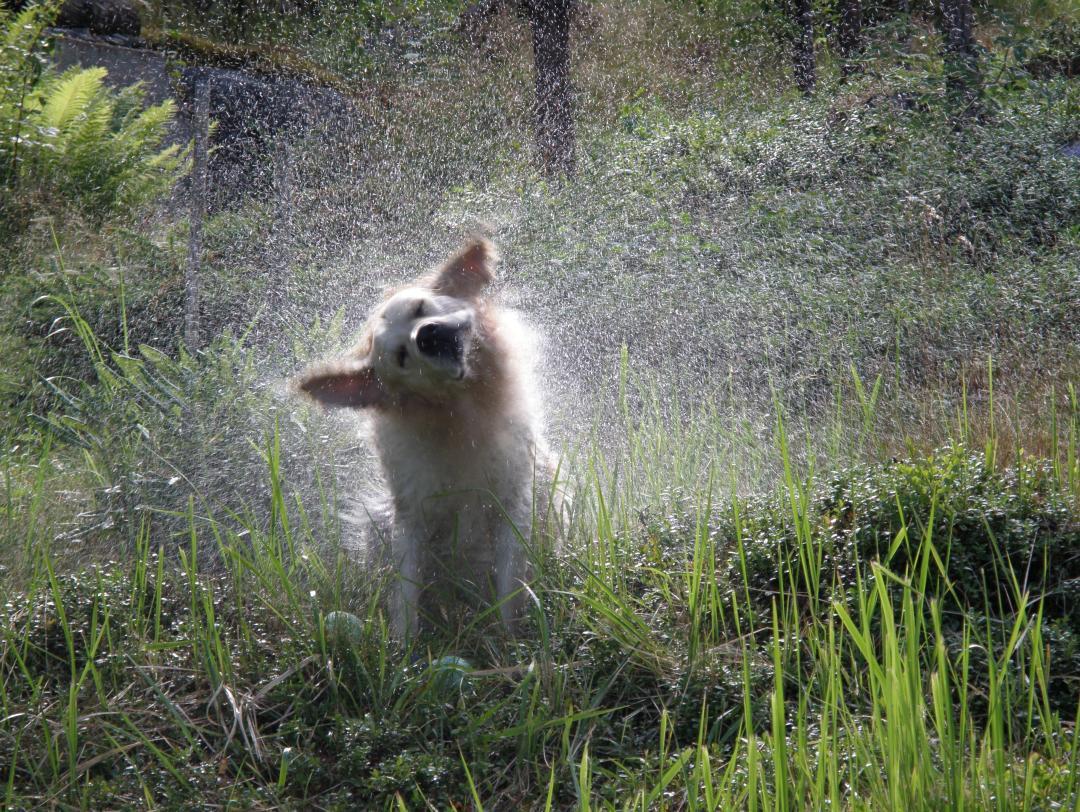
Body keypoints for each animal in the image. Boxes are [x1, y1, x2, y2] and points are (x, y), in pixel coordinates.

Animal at [300, 237, 561, 639]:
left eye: (421, 308)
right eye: (401, 357)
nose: (428, 335)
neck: (460, 416)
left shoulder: (513, 498)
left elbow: (510, 586)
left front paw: (510, 642)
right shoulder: (411, 514)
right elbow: (406, 598)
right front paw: (404, 649)